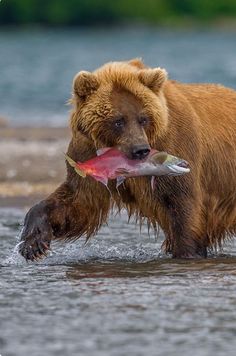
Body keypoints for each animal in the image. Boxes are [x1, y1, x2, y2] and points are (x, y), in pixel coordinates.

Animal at [18, 59, 236, 262]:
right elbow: (79, 201)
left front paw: (188, 253)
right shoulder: (87, 151)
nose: (141, 150)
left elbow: (183, 205)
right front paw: (33, 243)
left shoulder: (177, 145)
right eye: (118, 120)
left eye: (143, 118)